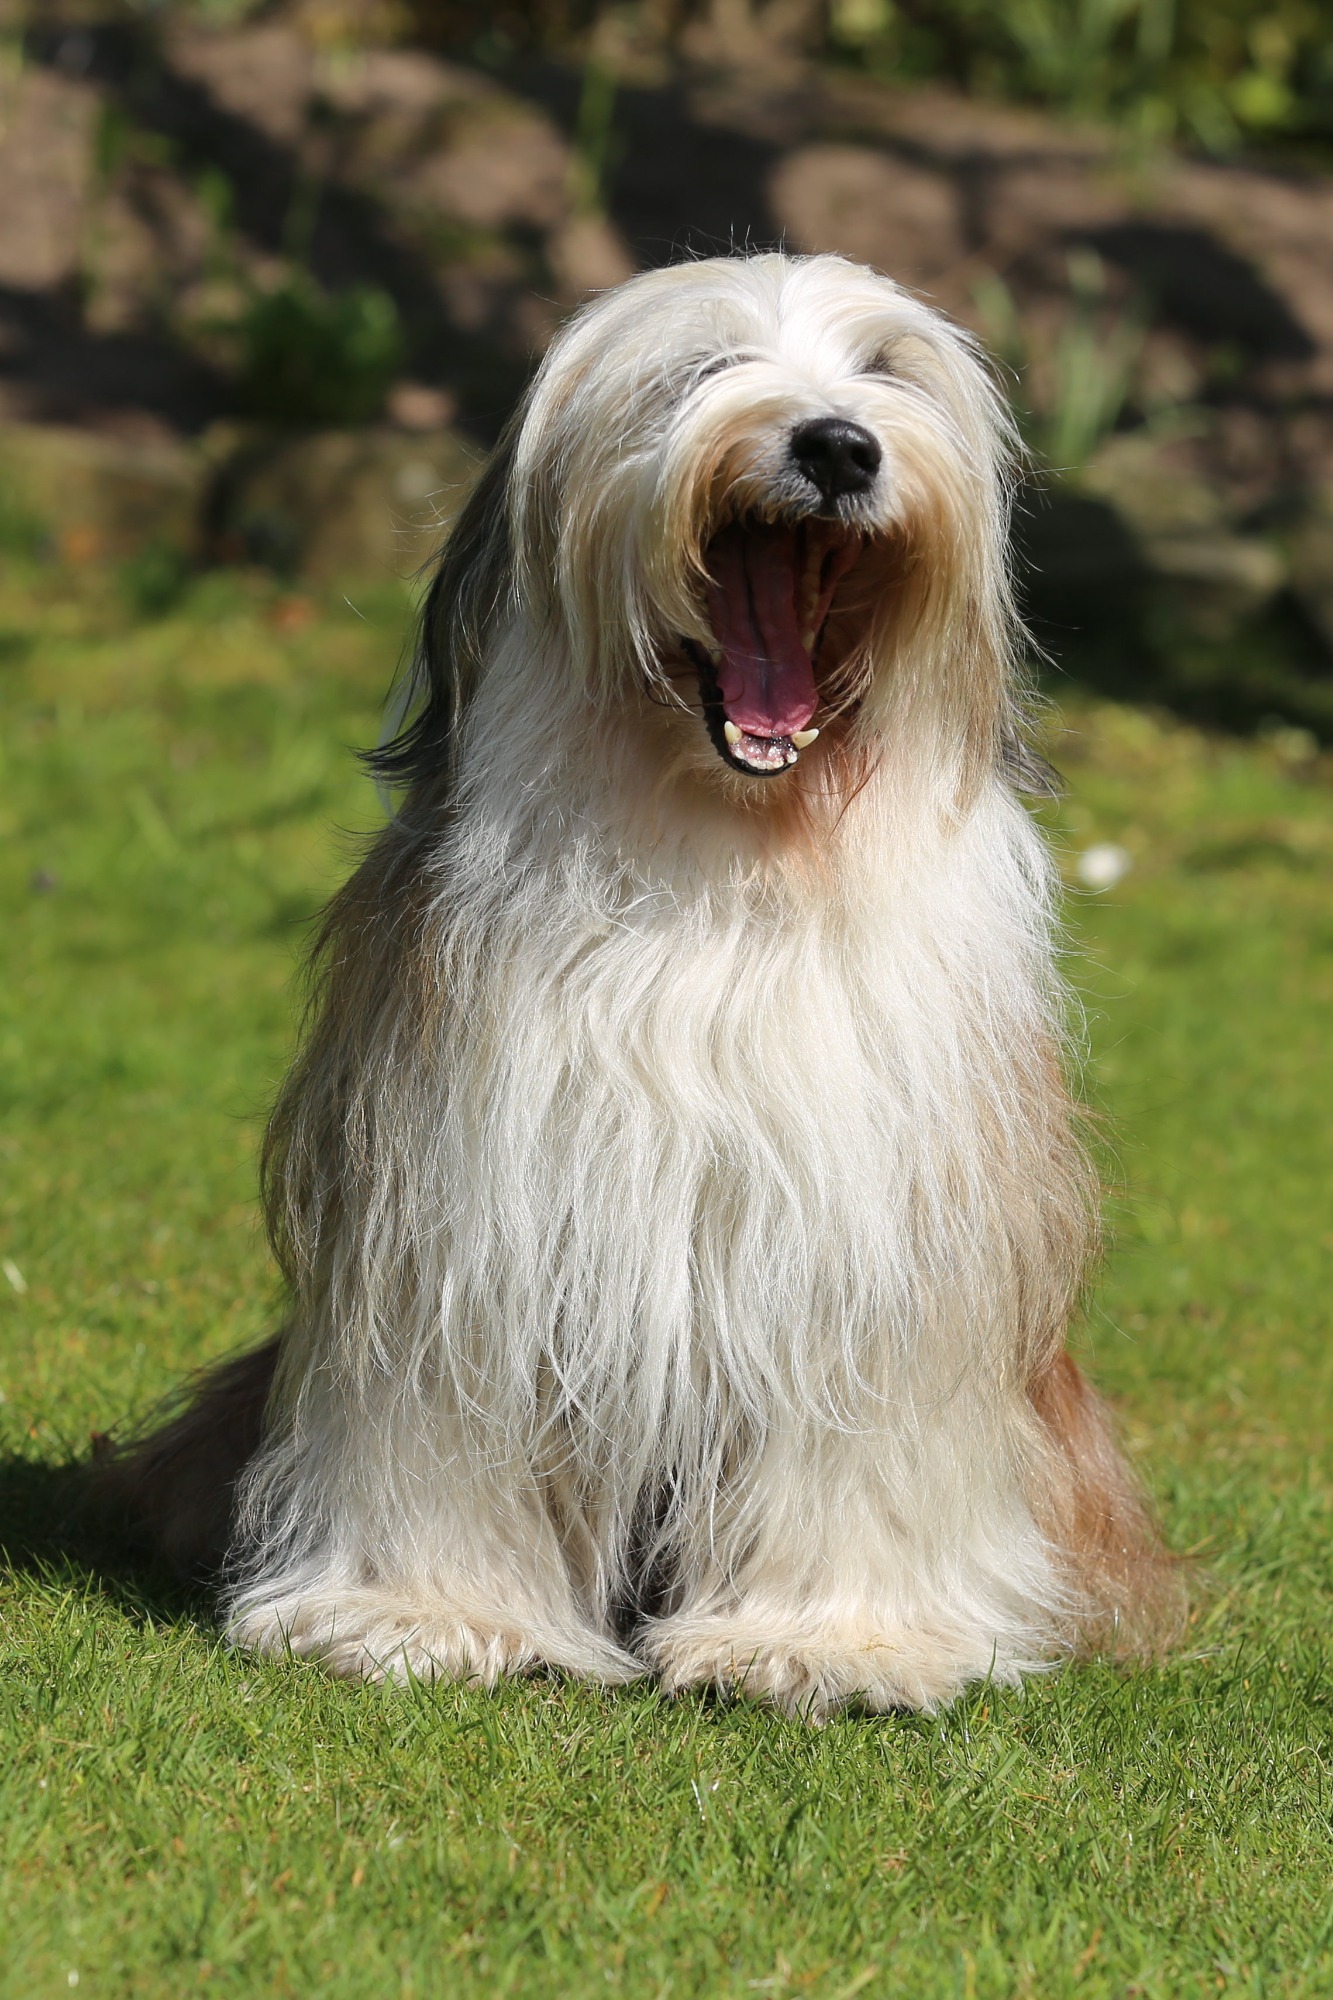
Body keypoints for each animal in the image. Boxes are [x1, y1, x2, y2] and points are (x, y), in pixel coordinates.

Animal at [104, 252, 1180, 1717]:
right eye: (696, 371)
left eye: (887, 373)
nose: (836, 445)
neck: (723, 854)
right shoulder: (464, 1196)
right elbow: (440, 1390)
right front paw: (419, 1610)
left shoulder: (871, 1227)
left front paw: (831, 1639)